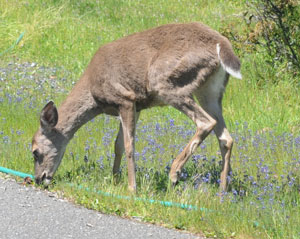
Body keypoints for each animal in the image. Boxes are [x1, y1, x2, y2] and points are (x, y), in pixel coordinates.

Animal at [31, 22, 241, 193]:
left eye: (35, 152)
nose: (39, 178)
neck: (92, 92)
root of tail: (221, 44)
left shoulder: (125, 98)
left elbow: (129, 145)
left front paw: (132, 188)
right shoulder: (136, 106)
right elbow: (117, 145)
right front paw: (114, 180)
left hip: (167, 83)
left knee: (206, 122)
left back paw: (174, 173)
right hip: (210, 92)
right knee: (226, 137)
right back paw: (222, 191)